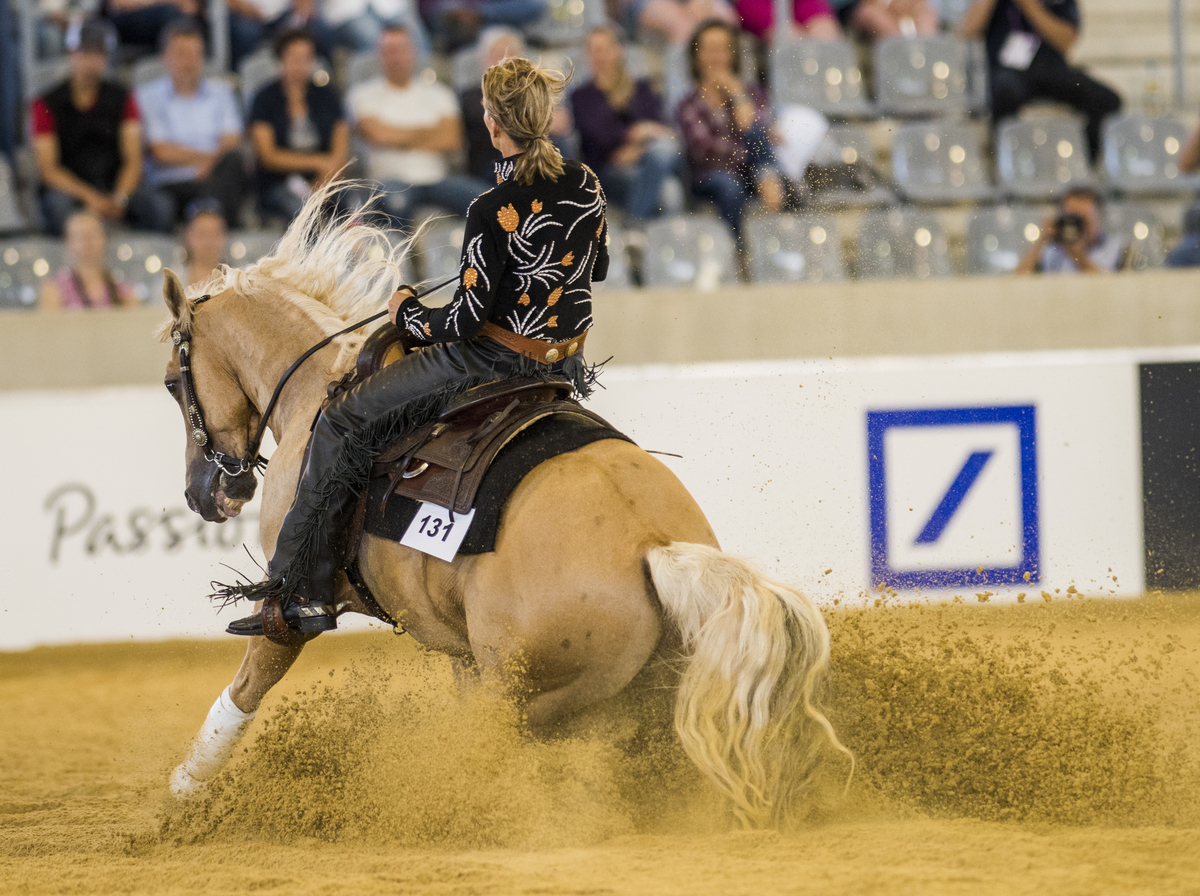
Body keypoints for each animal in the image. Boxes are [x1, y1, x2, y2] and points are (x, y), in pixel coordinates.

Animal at [161, 185, 849, 828]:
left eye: (171, 382)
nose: (207, 492)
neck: (314, 390)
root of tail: (654, 545)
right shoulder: (461, 652)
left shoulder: (293, 606)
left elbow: (243, 692)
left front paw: (179, 799)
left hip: (520, 693)